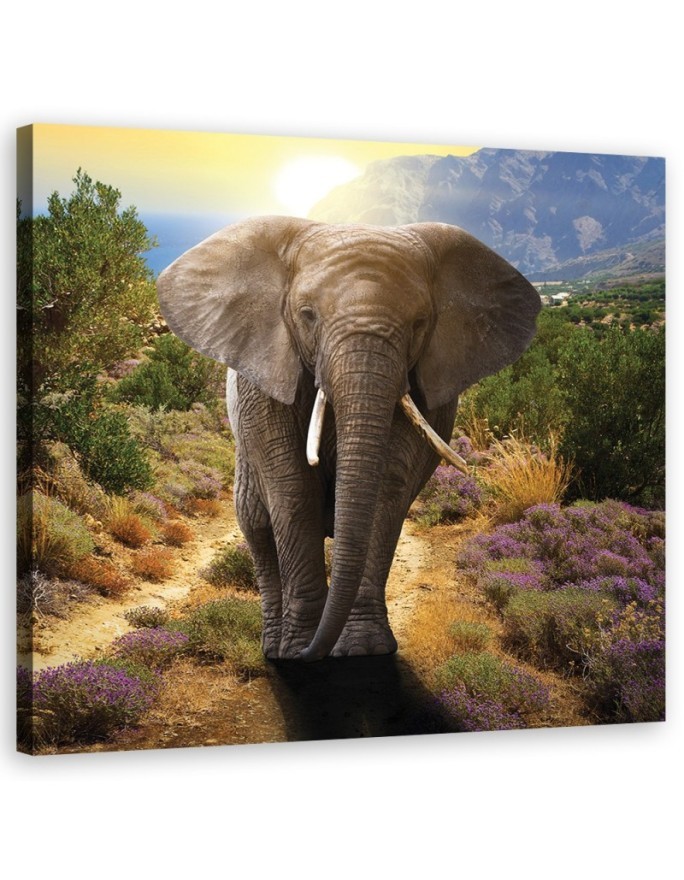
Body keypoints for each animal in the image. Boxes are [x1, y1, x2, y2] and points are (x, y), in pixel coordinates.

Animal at [157, 216, 540, 661]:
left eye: (420, 323)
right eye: (307, 315)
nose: (311, 655)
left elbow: (388, 486)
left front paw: (363, 650)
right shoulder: (264, 380)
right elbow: (293, 488)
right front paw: (299, 650)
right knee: (256, 525)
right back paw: (275, 648)